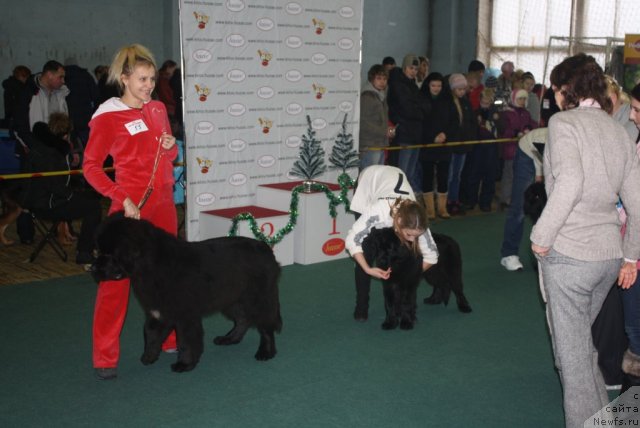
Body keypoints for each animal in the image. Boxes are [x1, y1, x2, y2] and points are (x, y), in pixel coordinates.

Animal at [91, 216, 282, 372]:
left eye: (109, 253)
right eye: (98, 251)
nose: (92, 269)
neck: (152, 265)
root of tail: (266, 248)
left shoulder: (185, 315)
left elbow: (185, 341)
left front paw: (184, 364)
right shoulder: (158, 312)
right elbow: (150, 334)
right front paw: (149, 357)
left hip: (258, 298)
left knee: (265, 326)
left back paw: (265, 352)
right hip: (232, 298)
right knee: (243, 319)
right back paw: (229, 339)